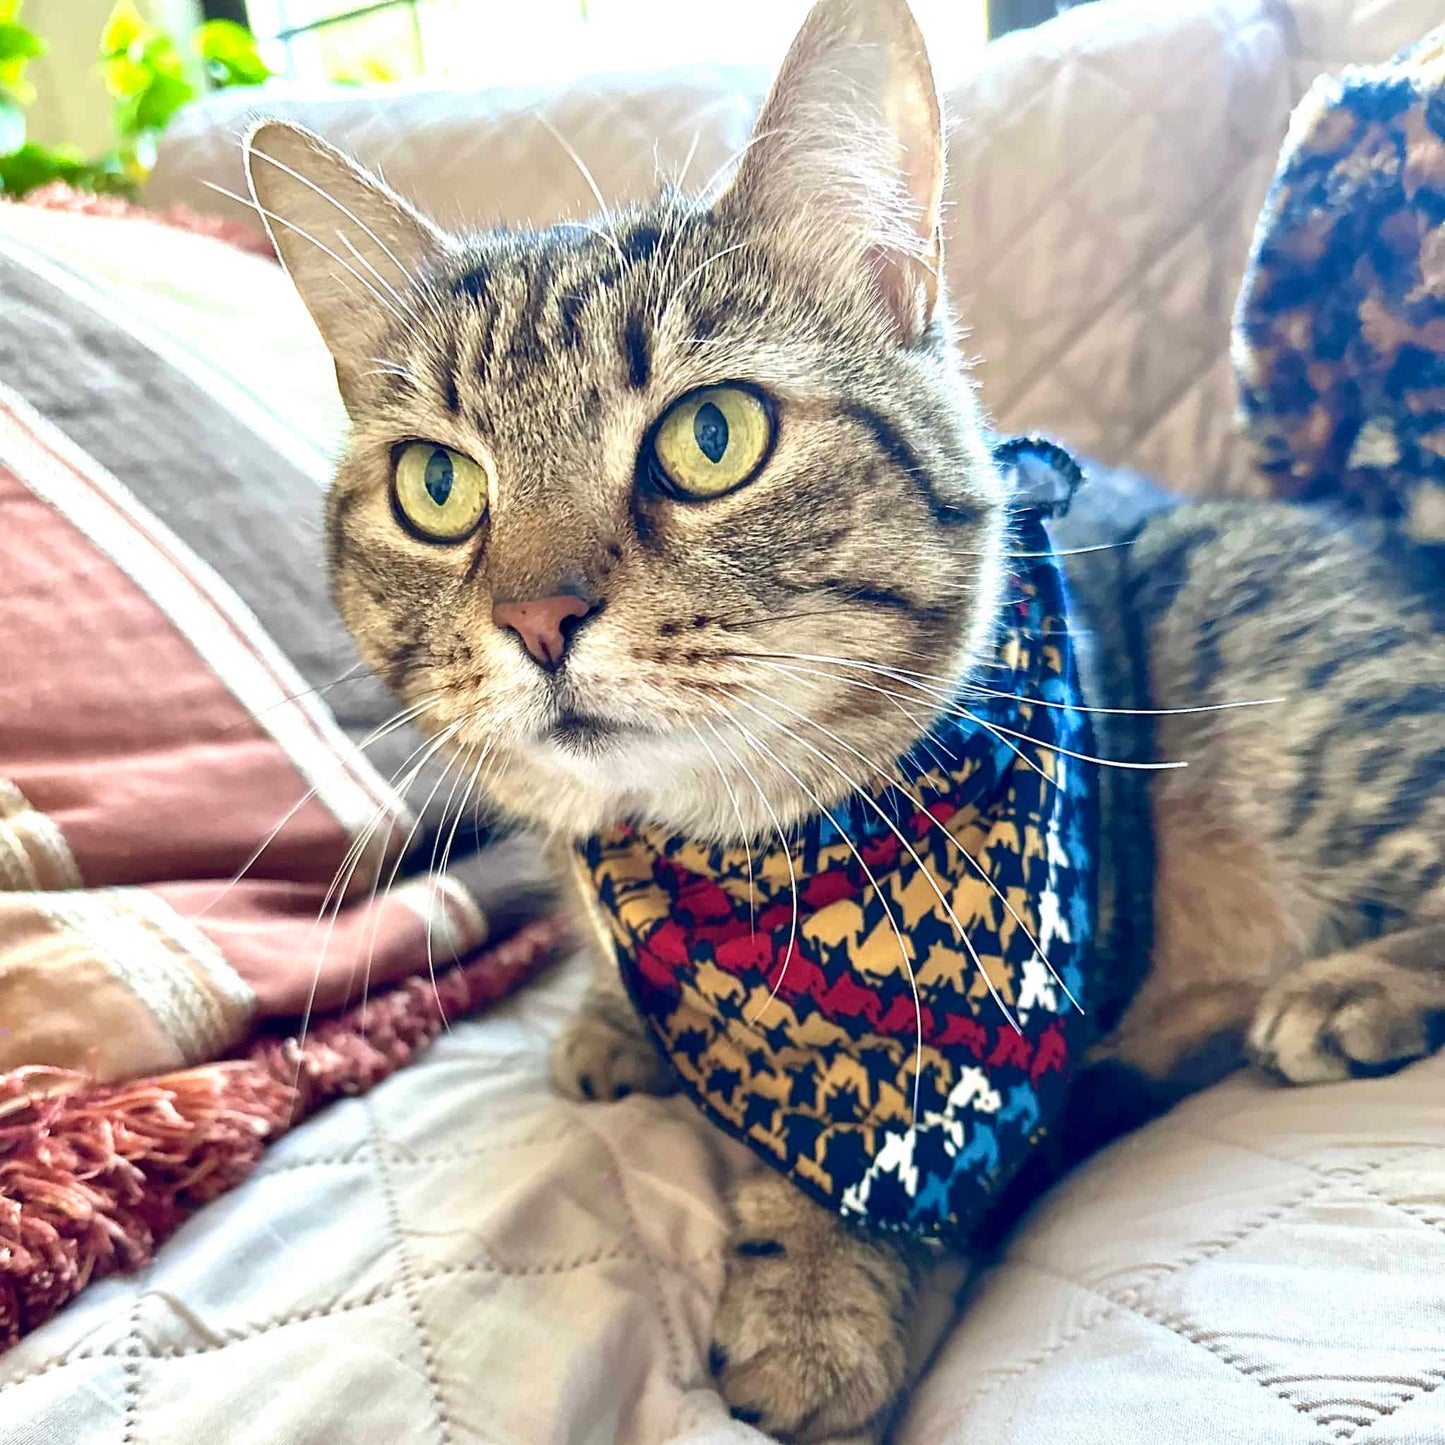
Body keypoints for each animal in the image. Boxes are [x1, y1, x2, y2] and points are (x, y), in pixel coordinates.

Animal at [245, 2, 1445, 1433]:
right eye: (435, 485)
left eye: (710, 436)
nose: (538, 616)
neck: (704, 857)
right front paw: (609, 1022)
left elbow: (853, 1181)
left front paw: (811, 1302)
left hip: (1259, 660)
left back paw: (1341, 987)